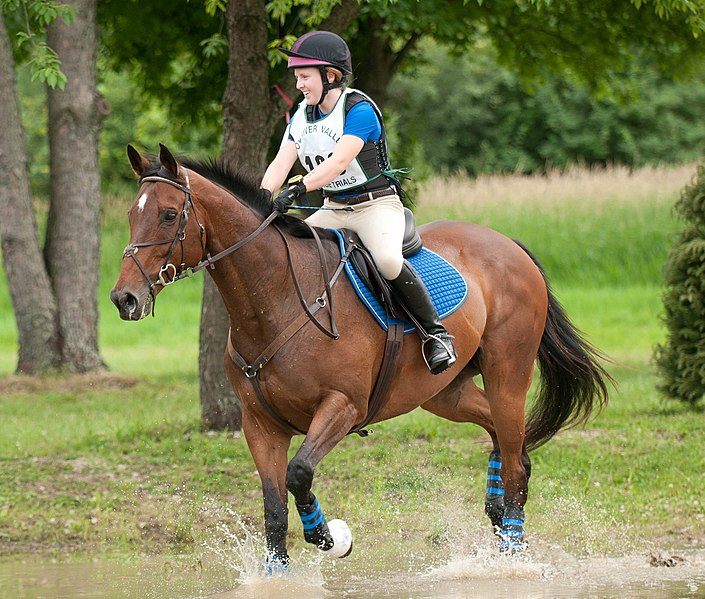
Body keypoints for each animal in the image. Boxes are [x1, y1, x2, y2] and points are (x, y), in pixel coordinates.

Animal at [110, 143, 612, 568]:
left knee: (514, 457)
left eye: (169, 215)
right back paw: (494, 510)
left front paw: (330, 537)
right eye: (133, 216)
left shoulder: (343, 406)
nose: (123, 299)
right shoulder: (259, 423)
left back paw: (510, 546)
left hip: (508, 374)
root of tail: (508, 244)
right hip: (444, 393)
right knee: (503, 439)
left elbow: (298, 474)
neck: (274, 298)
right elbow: (273, 509)